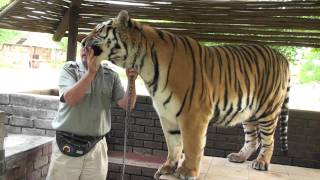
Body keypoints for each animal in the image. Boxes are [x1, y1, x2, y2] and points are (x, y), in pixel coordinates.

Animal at [82, 10, 290, 179]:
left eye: (99, 30)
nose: (82, 41)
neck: (142, 63)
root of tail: (281, 56)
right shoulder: (166, 114)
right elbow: (173, 144)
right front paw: (168, 167)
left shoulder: (194, 114)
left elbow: (192, 145)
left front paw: (187, 172)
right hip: (249, 112)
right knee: (253, 138)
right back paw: (239, 157)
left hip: (268, 109)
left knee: (268, 140)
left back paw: (261, 162)